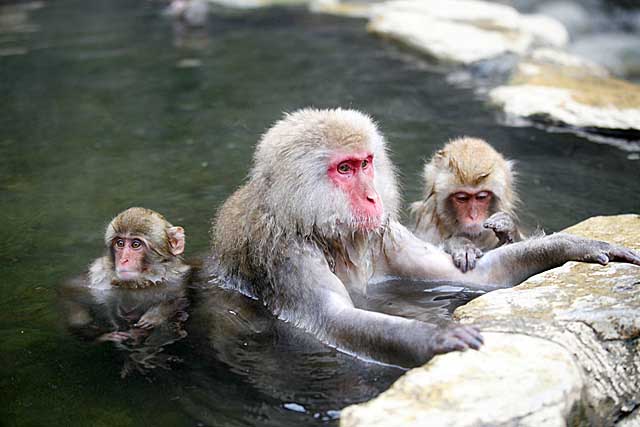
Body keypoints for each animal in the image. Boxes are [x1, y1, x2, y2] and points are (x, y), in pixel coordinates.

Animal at [412, 140, 524, 274]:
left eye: (481, 197)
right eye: (462, 198)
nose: (473, 216)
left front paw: (509, 228)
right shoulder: (427, 222)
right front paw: (461, 245)